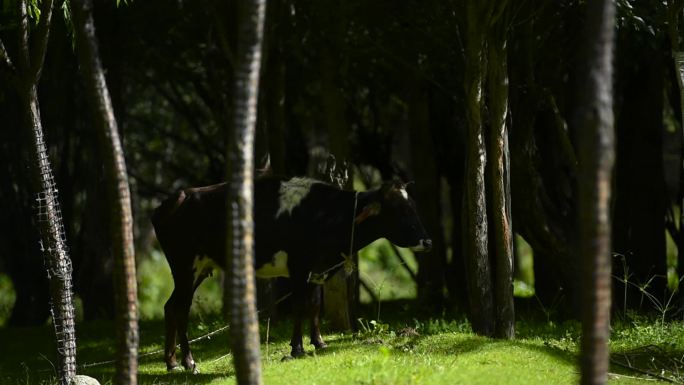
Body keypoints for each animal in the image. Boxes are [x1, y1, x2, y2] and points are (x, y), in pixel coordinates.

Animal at [154, 176, 432, 370]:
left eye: (414, 206)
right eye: (399, 210)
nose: (427, 241)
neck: (328, 213)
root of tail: (179, 196)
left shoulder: (317, 269)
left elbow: (315, 304)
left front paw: (319, 341)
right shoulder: (299, 266)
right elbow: (300, 305)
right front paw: (297, 348)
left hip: (198, 269)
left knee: (170, 306)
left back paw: (172, 362)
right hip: (186, 267)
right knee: (181, 309)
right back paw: (189, 362)